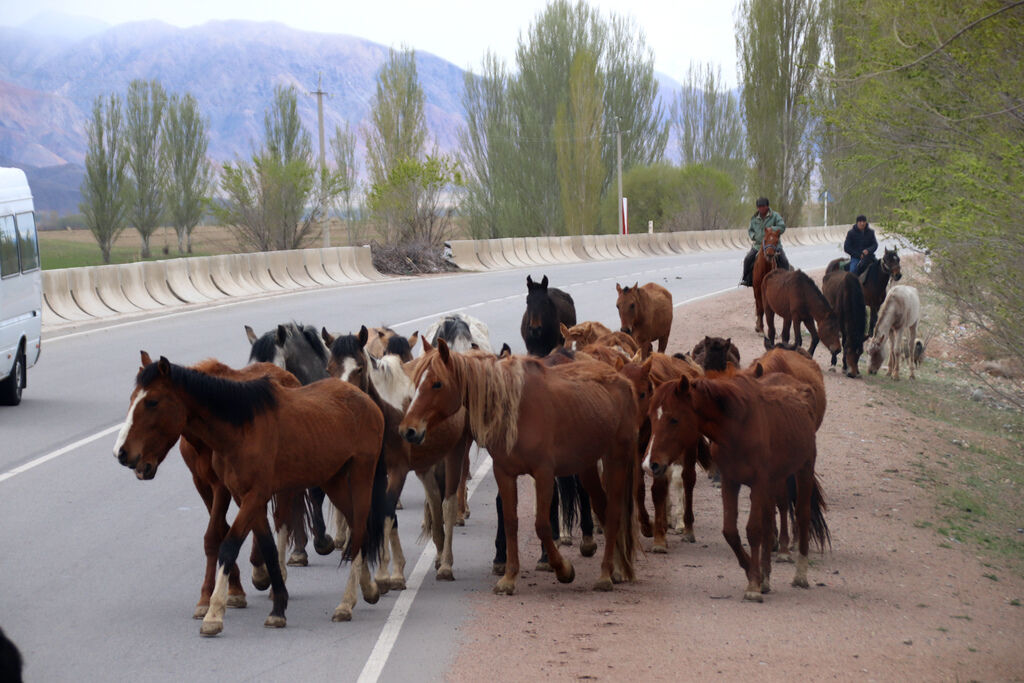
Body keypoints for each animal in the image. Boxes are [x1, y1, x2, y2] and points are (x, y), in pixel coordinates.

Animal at [114, 352, 389, 634]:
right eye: (132, 398)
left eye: (152, 401)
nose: (122, 452)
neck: (241, 429)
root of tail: (365, 400)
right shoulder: (241, 495)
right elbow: (265, 547)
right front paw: (278, 607)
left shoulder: (254, 495)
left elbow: (229, 544)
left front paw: (214, 611)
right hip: (333, 480)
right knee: (359, 530)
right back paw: (367, 588)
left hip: (361, 475)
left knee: (358, 531)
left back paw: (346, 603)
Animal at [395, 339, 634, 593]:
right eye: (416, 382)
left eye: (437, 383)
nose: (408, 430)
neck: (518, 409)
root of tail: (621, 377)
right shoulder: (505, 473)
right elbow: (510, 521)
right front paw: (509, 578)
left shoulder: (543, 474)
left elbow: (542, 524)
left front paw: (563, 569)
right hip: (587, 466)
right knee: (603, 508)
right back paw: (616, 568)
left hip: (615, 459)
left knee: (614, 512)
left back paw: (606, 575)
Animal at [647, 370, 831, 602]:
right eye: (650, 416)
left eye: (674, 419)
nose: (652, 463)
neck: (737, 427)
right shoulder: (731, 481)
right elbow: (731, 531)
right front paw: (756, 575)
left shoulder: (759, 482)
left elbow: (753, 530)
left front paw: (753, 585)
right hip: (775, 481)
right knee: (771, 519)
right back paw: (767, 576)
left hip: (803, 470)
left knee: (802, 515)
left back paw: (800, 575)